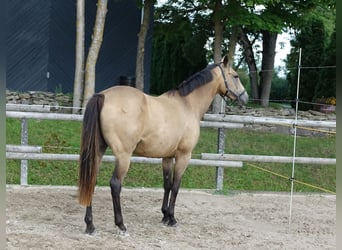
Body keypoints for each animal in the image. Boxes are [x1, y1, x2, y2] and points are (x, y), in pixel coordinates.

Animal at [77, 55, 248, 235]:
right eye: (235, 76)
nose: (245, 97)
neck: (187, 104)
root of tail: (102, 95)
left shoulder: (167, 157)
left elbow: (167, 184)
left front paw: (165, 215)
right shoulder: (183, 156)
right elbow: (176, 186)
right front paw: (172, 218)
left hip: (98, 151)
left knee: (91, 181)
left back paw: (90, 225)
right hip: (124, 156)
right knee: (115, 184)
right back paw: (121, 225)